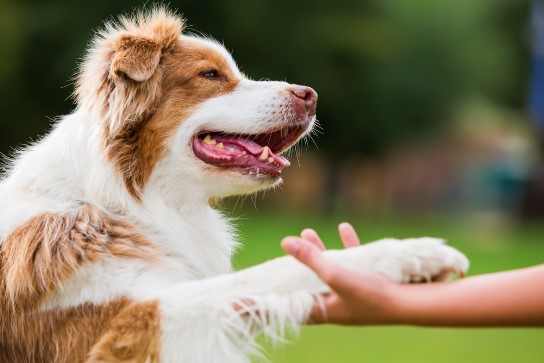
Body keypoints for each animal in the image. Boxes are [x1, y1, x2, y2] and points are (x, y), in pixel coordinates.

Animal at [0, 6, 468, 363]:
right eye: (210, 75)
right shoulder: (123, 327)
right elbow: (270, 272)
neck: (123, 199)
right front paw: (409, 252)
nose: (311, 95)